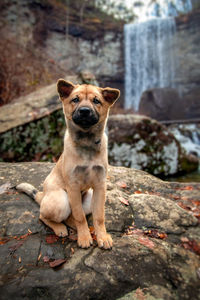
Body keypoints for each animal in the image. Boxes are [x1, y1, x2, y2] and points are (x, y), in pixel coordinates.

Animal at [16, 79, 119, 248]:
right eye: (75, 99)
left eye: (96, 101)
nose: (84, 111)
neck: (86, 142)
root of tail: (43, 196)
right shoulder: (73, 187)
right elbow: (80, 217)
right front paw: (84, 238)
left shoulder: (99, 186)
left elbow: (99, 217)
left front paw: (102, 237)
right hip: (61, 200)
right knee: (44, 216)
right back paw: (60, 228)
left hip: (89, 198)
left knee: (72, 216)